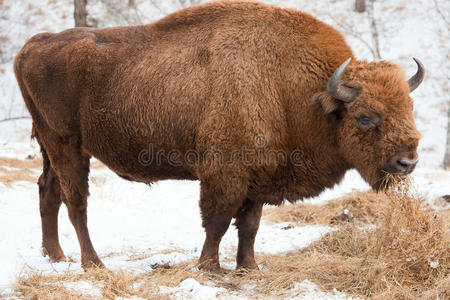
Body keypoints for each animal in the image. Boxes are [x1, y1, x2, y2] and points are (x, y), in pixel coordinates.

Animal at [12, 0, 424, 272]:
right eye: (366, 116)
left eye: (409, 106)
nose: (407, 162)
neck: (297, 90)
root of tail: (33, 45)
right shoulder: (224, 173)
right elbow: (219, 220)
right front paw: (209, 267)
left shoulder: (259, 178)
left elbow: (250, 225)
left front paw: (249, 268)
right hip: (66, 145)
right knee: (75, 201)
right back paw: (92, 263)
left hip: (52, 147)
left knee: (48, 190)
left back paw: (55, 256)